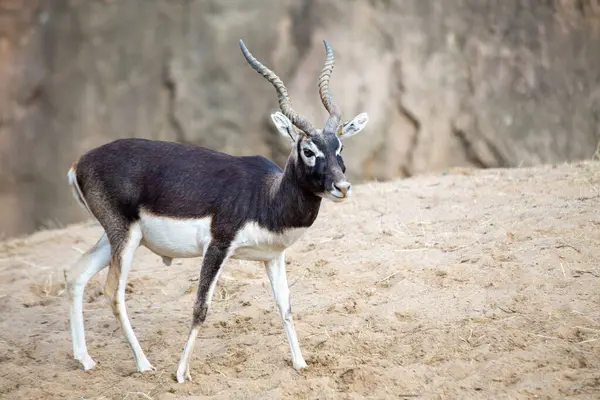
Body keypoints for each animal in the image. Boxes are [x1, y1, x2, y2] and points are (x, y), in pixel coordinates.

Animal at [63, 39, 368, 382]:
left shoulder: (273, 257)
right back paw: (143, 364)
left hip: (118, 236)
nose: (342, 187)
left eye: (339, 148)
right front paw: (181, 373)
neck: (267, 196)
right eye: (308, 151)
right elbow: (200, 308)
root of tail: (79, 163)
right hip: (124, 237)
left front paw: (300, 363)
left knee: (75, 275)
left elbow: (285, 306)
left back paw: (85, 359)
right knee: (113, 291)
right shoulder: (218, 246)